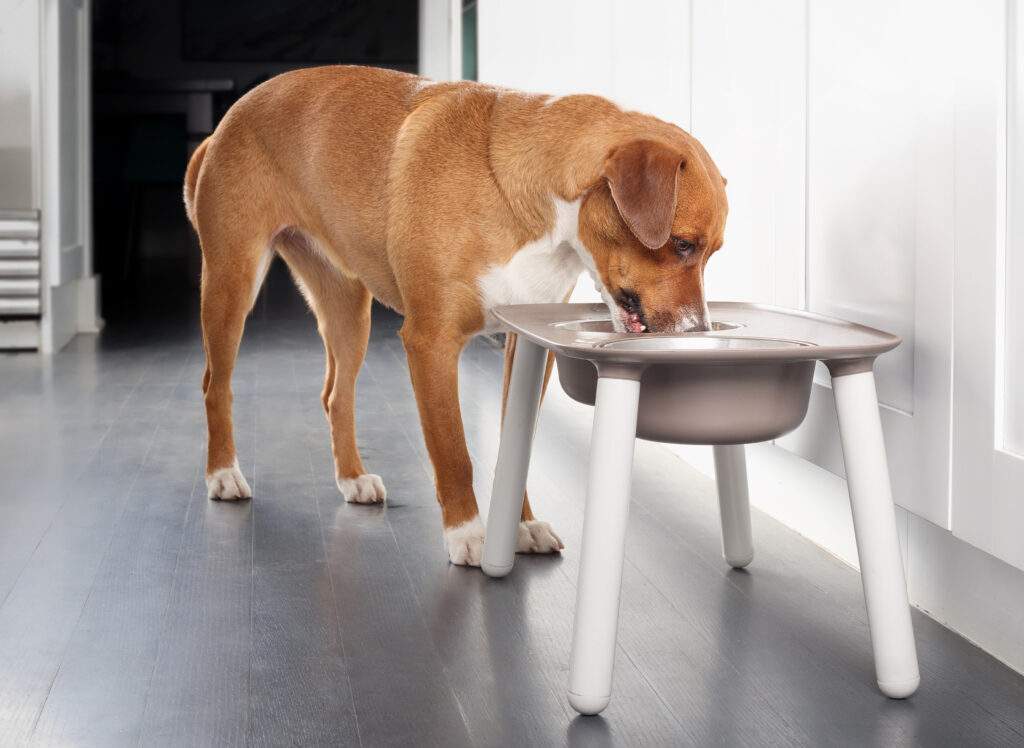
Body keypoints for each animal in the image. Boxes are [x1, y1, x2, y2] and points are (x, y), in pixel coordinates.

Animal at [184, 65, 729, 565]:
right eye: (682, 244)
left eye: (712, 252)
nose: (700, 331)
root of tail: (229, 118)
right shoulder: (431, 344)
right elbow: (454, 453)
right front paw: (467, 534)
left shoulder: (527, 346)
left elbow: (515, 447)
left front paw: (520, 526)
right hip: (232, 283)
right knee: (215, 385)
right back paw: (223, 475)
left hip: (348, 310)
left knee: (336, 396)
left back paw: (352, 478)